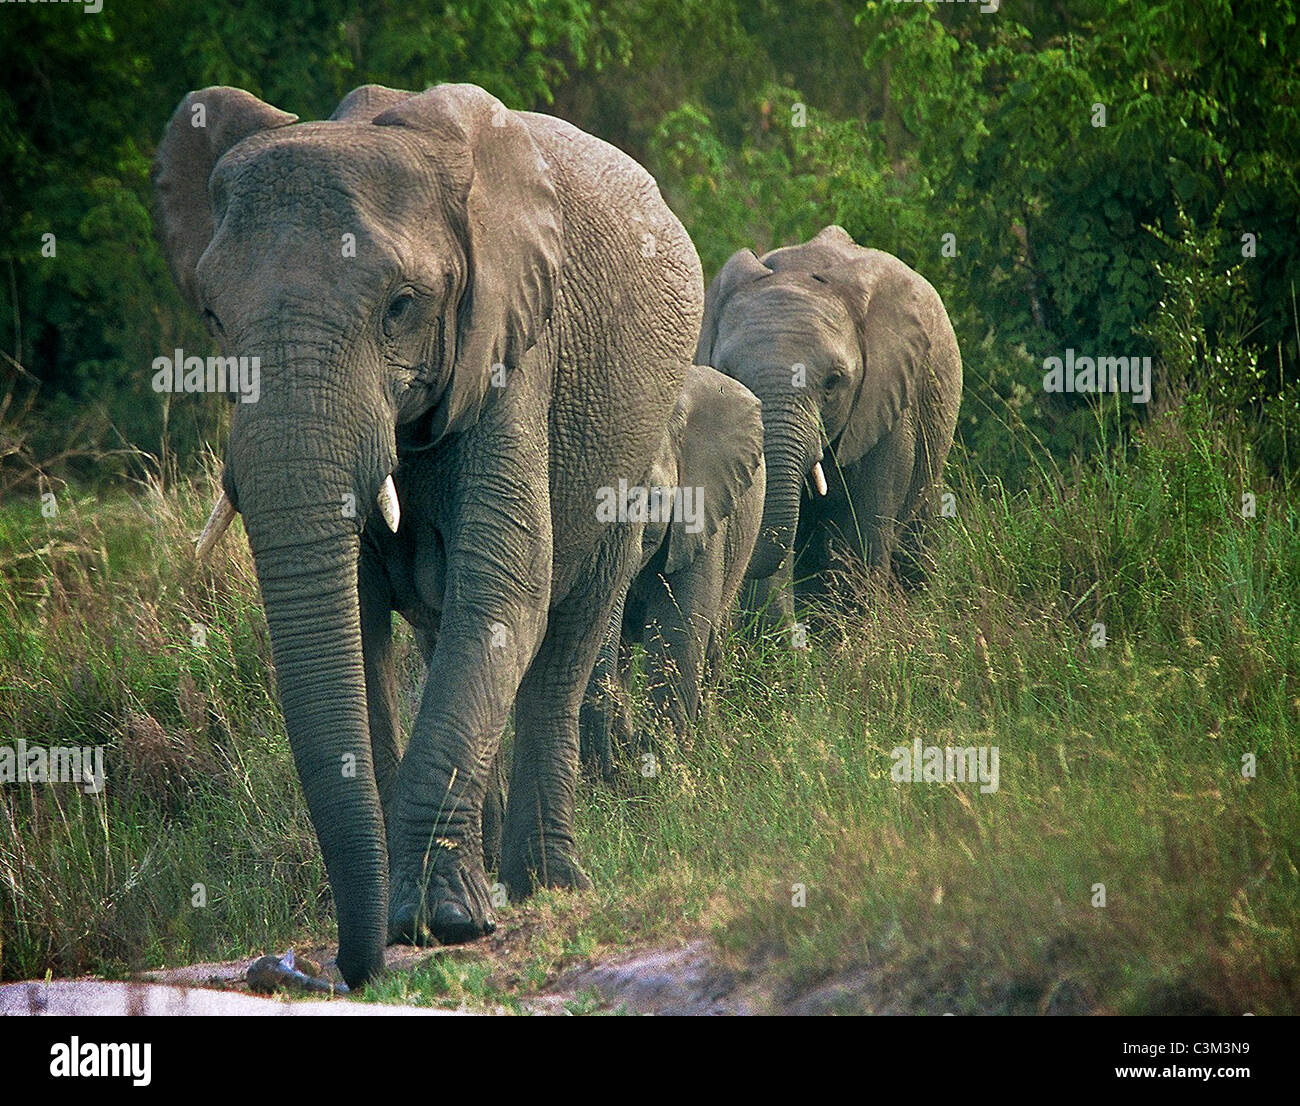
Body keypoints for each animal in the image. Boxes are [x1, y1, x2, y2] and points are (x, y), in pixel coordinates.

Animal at [154, 82, 702, 992]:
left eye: (399, 308)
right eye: (212, 315)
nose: (334, 969)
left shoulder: (514, 349)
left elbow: (506, 588)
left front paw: (438, 922)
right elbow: (361, 624)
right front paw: (420, 916)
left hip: (638, 444)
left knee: (567, 637)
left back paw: (543, 884)